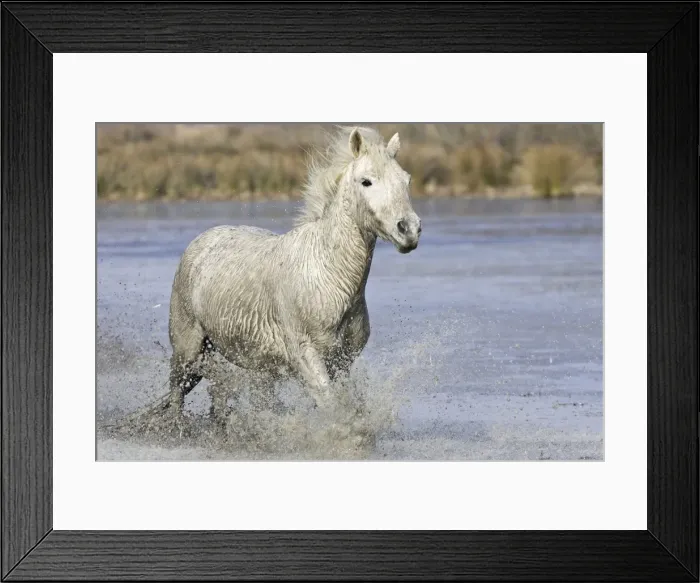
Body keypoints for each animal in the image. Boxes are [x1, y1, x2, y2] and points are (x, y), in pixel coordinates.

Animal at [166, 126, 422, 422]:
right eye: (366, 182)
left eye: (406, 180)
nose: (409, 230)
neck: (329, 277)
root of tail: (202, 240)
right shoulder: (306, 356)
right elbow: (332, 407)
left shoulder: (342, 362)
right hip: (187, 349)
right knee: (176, 395)